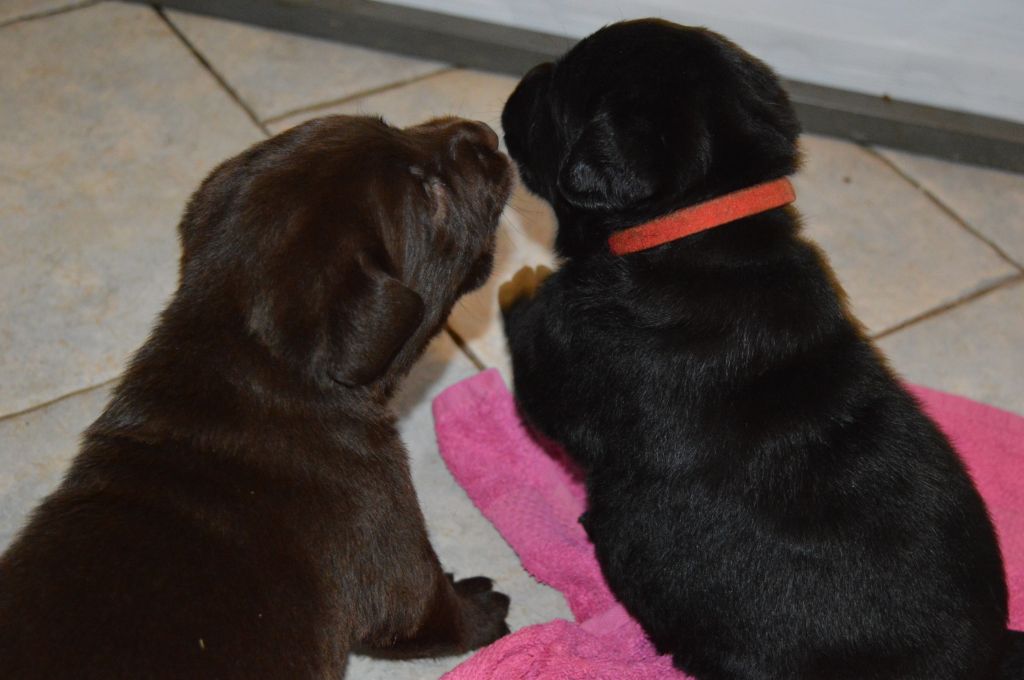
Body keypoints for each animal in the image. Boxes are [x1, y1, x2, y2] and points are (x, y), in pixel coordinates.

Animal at [0, 114, 512, 675]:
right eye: (428, 192)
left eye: (390, 125)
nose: (487, 134)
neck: (252, 359)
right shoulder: (389, 536)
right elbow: (434, 610)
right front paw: (482, 606)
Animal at [497, 18, 1024, 675]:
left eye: (556, 96)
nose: (519, 85)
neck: (700, 226)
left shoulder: (567, 360)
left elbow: (532, 348)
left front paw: (520, 281)